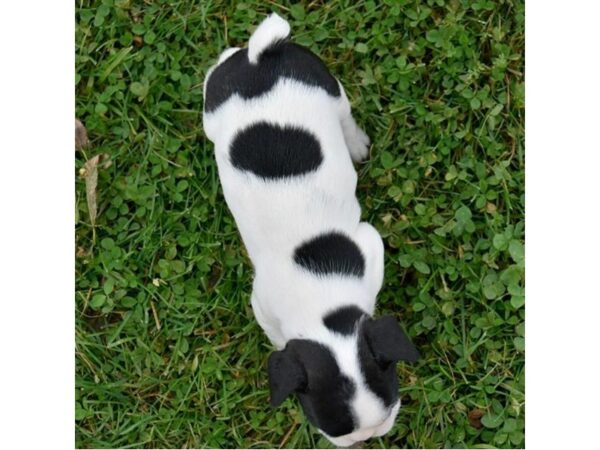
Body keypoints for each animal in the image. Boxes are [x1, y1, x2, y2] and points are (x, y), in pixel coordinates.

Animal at [202, 13, 418, 446]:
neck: (322, 300)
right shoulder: (263, 303)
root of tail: (261, 59)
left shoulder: (370, 244)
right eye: (331, 428)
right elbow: (277, 335)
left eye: (390, 411)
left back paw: (354, 142)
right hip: (216, 110)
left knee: (344, 113)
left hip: (327, 87)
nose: (365, 440)